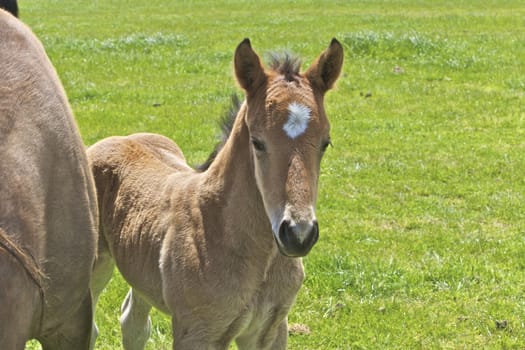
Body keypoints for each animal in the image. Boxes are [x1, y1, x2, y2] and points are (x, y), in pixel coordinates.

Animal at [89, 39, 344, 350]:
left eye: (325, 143)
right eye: (257, 142)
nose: (298, 234)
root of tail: (119, 138)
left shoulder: (270, 328)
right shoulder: (197, 333)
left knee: (133, 323)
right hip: (95, 264)